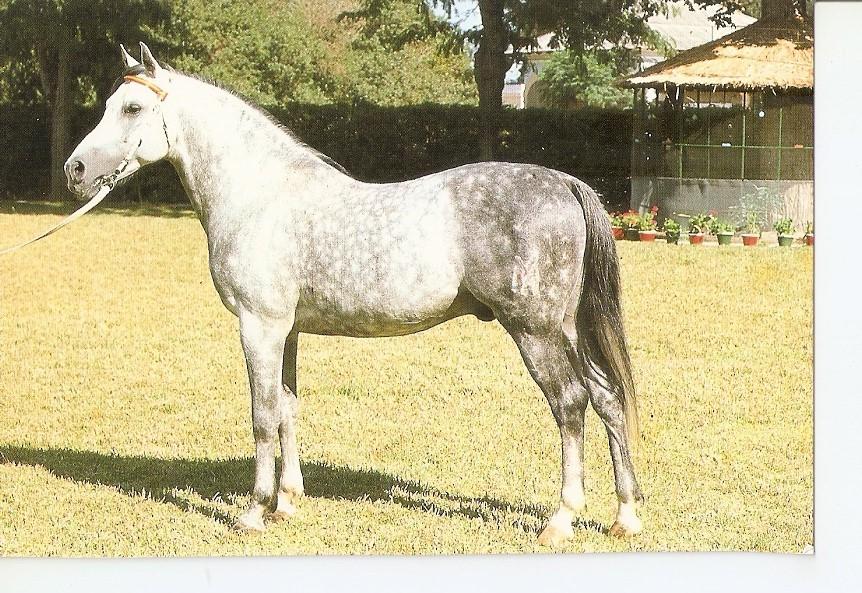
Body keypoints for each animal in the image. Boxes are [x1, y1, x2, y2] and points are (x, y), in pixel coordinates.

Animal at [62, 43, 644, 545]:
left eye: (132, 107)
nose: (75, 170)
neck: (261, 193)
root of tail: (564, 183)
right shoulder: (288, 331)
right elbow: (288, 408)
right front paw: (288, 503)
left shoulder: (259, 326)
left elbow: (261, 416)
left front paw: (254, 512)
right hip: (567, 328)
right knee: (608, 398)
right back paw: (625, 517)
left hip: (535, 332)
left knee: (571, 404)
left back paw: (561, 520)